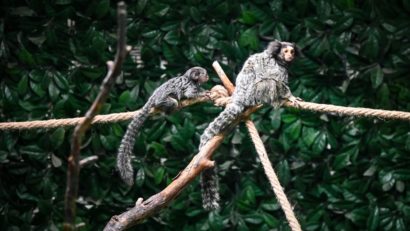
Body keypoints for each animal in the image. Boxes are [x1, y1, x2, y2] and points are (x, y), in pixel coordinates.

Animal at [199, 40, 302, 210]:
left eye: (292, 51)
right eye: (286, 51)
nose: (290, 55)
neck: (277, 58)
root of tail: (240, 98)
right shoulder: (276, 68)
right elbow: (278, 81)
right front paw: (290, 97)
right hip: (255, 93)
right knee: (270, 83)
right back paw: (276, 100)